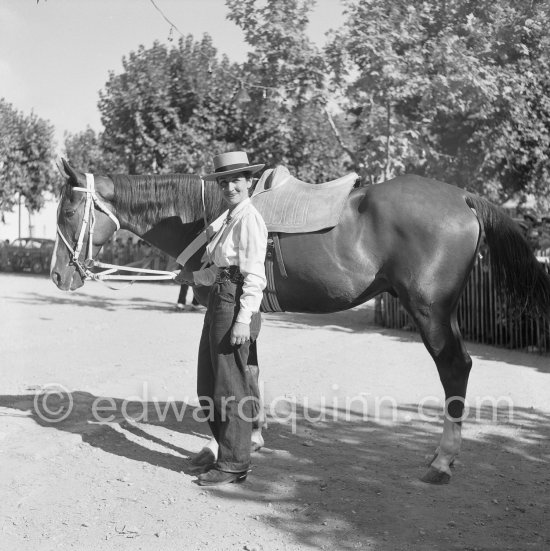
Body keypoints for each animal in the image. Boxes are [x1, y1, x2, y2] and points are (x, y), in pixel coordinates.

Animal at [51, 158, 550, 484]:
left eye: (69, 211)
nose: (58, 275)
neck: (212, 215)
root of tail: (462, 196)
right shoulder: (250, 316)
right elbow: (250, 374)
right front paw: (253, 437)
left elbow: (231, 379)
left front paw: (221, 447)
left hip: (431, 310)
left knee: (454, 368)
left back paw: (442, 461)